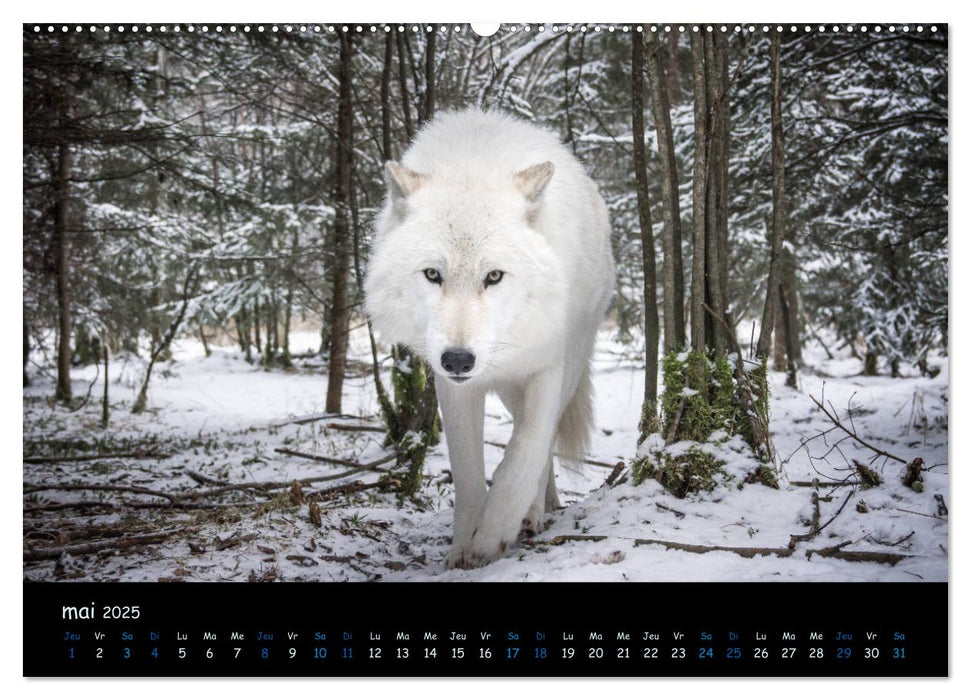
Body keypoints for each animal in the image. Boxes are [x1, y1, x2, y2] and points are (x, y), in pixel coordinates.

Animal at [364, 109, 616, 568]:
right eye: (433, 274)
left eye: (494, 276)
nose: (459, 360)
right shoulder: (454, 388)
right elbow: (467, 471)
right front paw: (463, 546)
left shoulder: (548, 366)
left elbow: (524, 453)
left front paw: (494, 532)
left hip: (570, 363)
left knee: (544, 439)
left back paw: (533, 513)